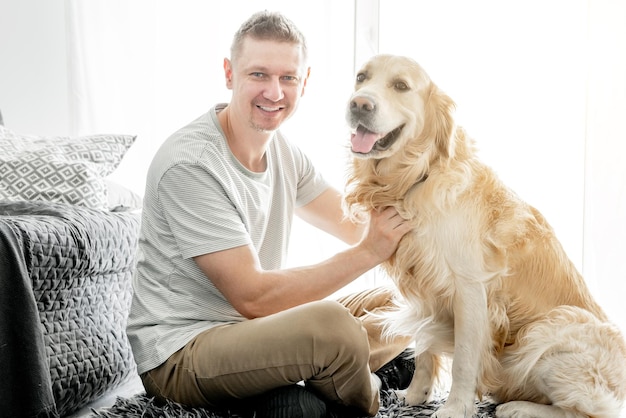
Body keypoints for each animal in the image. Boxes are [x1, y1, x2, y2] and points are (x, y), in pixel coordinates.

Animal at [342, 53, 624, 418]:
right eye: (361, 78)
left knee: (590, 412)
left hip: (550, 328)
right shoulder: (426, 287)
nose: (359, 104)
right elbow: (424, 348)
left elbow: (463, 359)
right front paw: (416, 396)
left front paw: (453, 408)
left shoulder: (470, 288)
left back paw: (516, 407)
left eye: (401, 85)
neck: (416, 177)